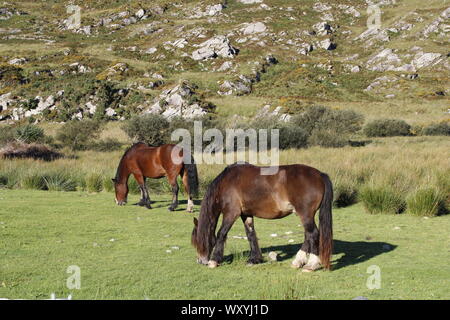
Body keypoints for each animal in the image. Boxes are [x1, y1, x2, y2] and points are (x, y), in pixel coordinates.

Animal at [192, 164, 332, 272]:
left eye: (197, 240)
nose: (200, 261)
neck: (227, 182)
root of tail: (319, 174)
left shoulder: (231, 213)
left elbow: (221, 233)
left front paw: (214, 260)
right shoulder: (246, 214)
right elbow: (250, 234)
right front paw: (254, 259)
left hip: (305, 215)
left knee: (313, 234)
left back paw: (311, 265)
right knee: (308, 236)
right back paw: (297, 261)